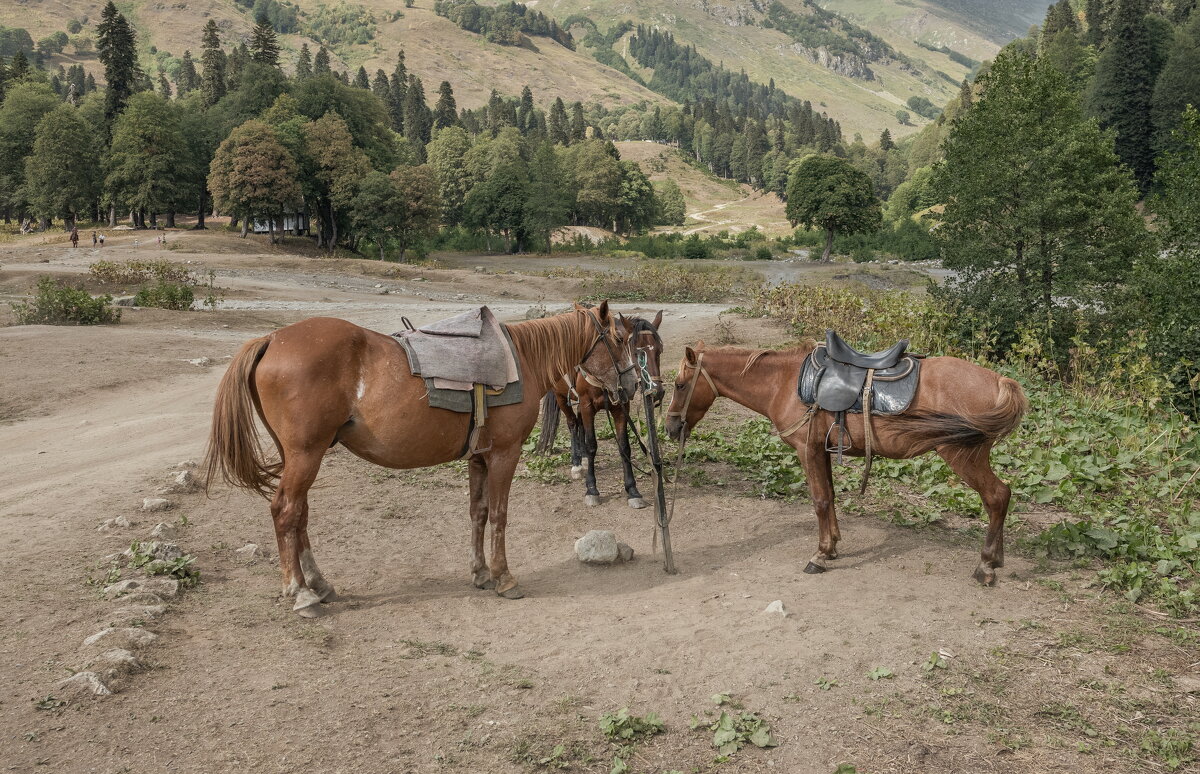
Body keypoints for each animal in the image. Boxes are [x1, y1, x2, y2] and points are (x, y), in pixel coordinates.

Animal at [204, 298, 638, 612]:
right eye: (619, 340)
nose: (633, 384)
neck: (522, 360)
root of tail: (271, 340)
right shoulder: (504, 454)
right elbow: (499, 515)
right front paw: (504, 577)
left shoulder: (479, 457)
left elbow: (479, 513)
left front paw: (481, 573)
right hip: (305, 454)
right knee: (286, 511)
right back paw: (300, 593)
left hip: (300, 456)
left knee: (300, 514)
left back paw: (320, 584)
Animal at [537, 312, 667, 511]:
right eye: (636, 353)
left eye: (659, 351)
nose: (657, 391)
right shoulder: (587, 405)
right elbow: (592, 445)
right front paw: (592, 489)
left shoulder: (621, 407)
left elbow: (624, 447)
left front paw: (633, 491)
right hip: (561, 397)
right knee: (572, 424)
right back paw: (576, 463)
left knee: (580, 424)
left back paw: (582, 458)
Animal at [662, 331, 1027, 585]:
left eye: (679, 385)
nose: (670, 427)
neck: (783, 383)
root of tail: (1001, 380)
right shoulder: (821, 450)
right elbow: (830, 497)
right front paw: (833, 546)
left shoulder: (806, 450)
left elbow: (819, 500)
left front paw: (820, 555)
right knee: (1003, 496)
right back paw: (997, 559)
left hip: (963, 456)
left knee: (997, 496)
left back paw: (985, 565)